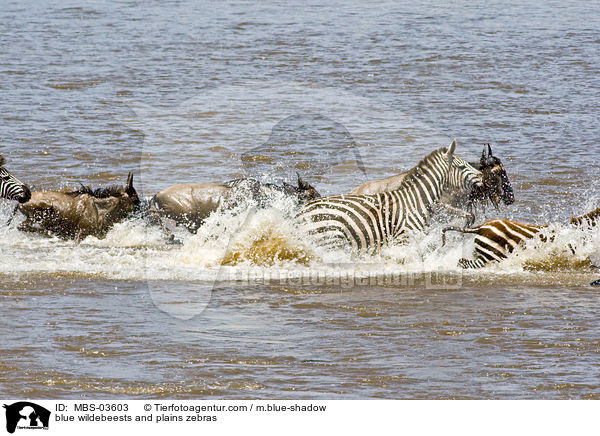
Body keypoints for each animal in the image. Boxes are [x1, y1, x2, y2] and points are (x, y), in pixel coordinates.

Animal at [298, 138, 486, 250]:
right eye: (462, 166)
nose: (483, 177)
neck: (416, 199)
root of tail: (300, 212)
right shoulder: (405, 238)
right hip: (329, 240)